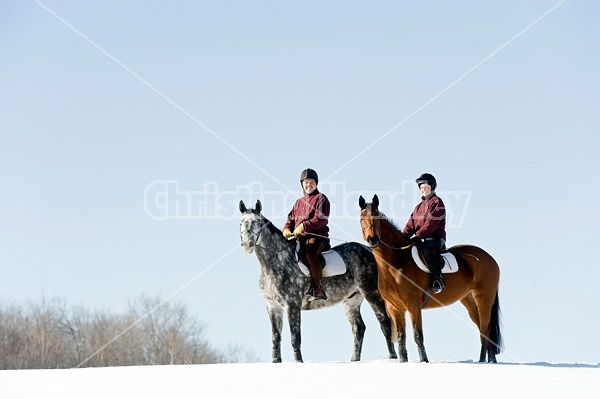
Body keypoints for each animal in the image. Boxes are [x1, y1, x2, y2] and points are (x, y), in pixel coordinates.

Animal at [239, 200, 398, 362]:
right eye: (241, 222)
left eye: (258, 223)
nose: (247, 244)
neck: (277, 261)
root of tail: (369, 250)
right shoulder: (273, 307)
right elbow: (276, 337)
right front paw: (276, 361)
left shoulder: (292, 305)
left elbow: (295, 337)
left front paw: (298, 361)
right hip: (352, 300)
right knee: (358, 328)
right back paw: (354, 359)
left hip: (372, 293)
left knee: (385, 323)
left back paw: (392, 357)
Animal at [358, 195, 504, 364]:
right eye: (361, 218)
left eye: (377, 218)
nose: (373, 239)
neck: (396, 262)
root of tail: (490, 258)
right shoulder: (394, 308)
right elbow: (401, 336)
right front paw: (403, 361)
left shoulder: (413, 305)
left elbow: (417, 334)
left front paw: (424, 360)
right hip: (469, 301)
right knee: (482, 328)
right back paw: (484, 360)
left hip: (484, 299)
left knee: (486, 329)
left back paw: (489, 360)